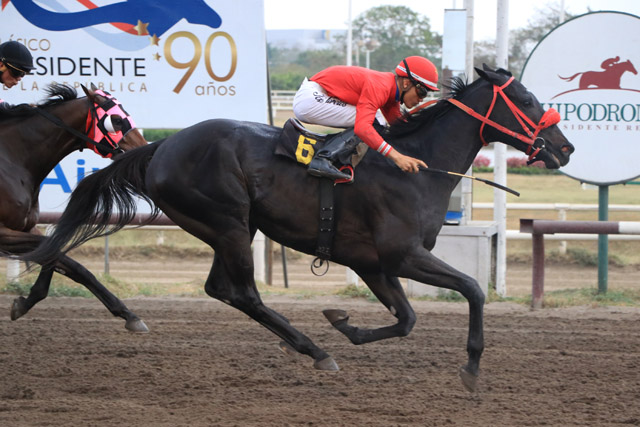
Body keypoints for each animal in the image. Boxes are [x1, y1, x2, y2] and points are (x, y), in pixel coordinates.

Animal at [1, 83, 149, 332]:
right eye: (117, 120)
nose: (144, 150)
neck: (13, 158)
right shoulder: (3, 233)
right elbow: (70, 263)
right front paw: (129, 314)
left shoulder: (25, 228)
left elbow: (54, 255)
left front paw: (24, 302)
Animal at [23, 66, 576, 392]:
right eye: (527, 99)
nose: (565, 148)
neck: (417, 167)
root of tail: (162, 146)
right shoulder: (402, 255)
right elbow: (473, 289)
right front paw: (472, 368)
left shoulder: (373, 264)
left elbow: (407, 319)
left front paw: (344, 322)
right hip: (227, 221)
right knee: (242, 293)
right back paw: (315, 351)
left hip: (229, 228)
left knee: (222, 289)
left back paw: (309, 343)